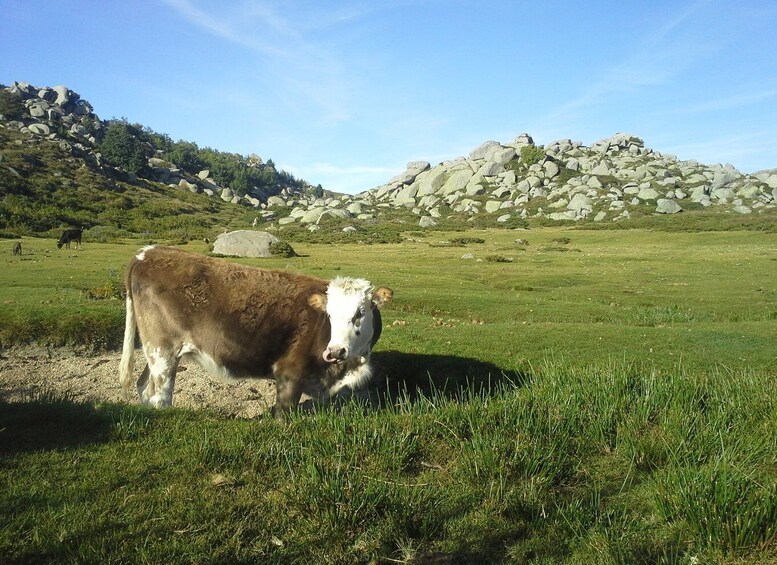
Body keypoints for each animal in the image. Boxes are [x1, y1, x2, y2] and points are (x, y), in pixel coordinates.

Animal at [119, 245, 394, 416]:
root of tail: (147, 252)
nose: (335, 351)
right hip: (163, 351)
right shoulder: (289, 372)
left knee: (144, 386)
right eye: (329, 314)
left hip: (157, 352)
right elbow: (284, 414)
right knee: (160, 396)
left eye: (360, 312)